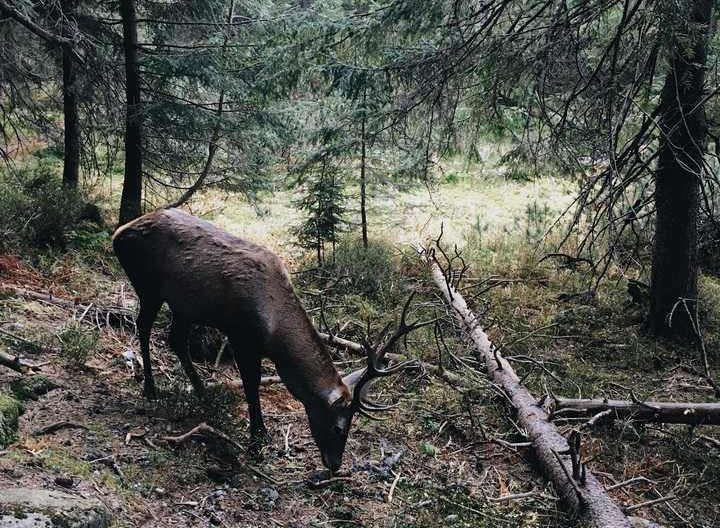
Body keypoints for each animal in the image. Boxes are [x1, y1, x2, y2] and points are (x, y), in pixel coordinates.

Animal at [112, 208, 428, 472]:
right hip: (149, 286)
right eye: (340, 427)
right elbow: (251, 386)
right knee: (143, 327)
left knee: (175, 339)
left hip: (184, 305)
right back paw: (150, 388)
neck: (275, 332)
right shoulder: (242, 336)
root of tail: (118, 234)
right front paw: (258, 439)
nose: (335, 464)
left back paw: (203, 393)